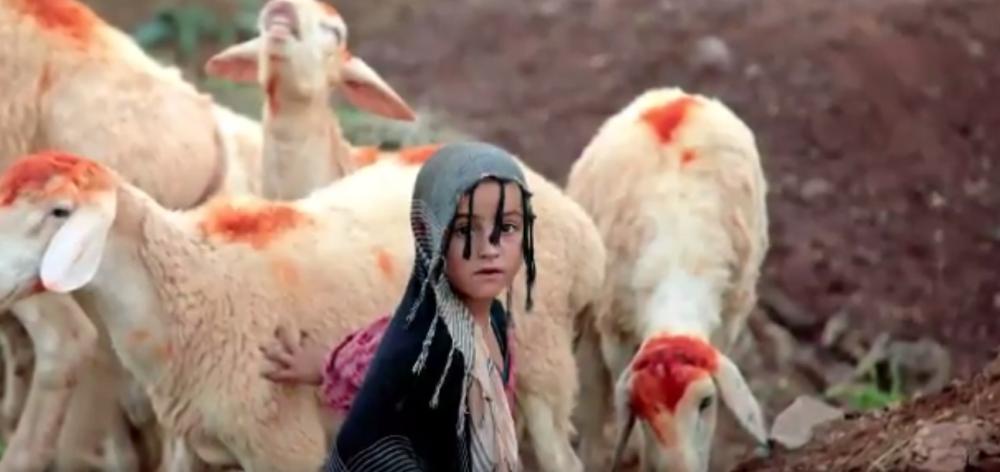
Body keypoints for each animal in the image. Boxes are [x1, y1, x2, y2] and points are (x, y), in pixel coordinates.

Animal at [565, 87, 770, 472]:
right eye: (642, 411)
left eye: (705, 403)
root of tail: (674, 97)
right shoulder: (616, 334)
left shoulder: (727, 324)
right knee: (593, 399)